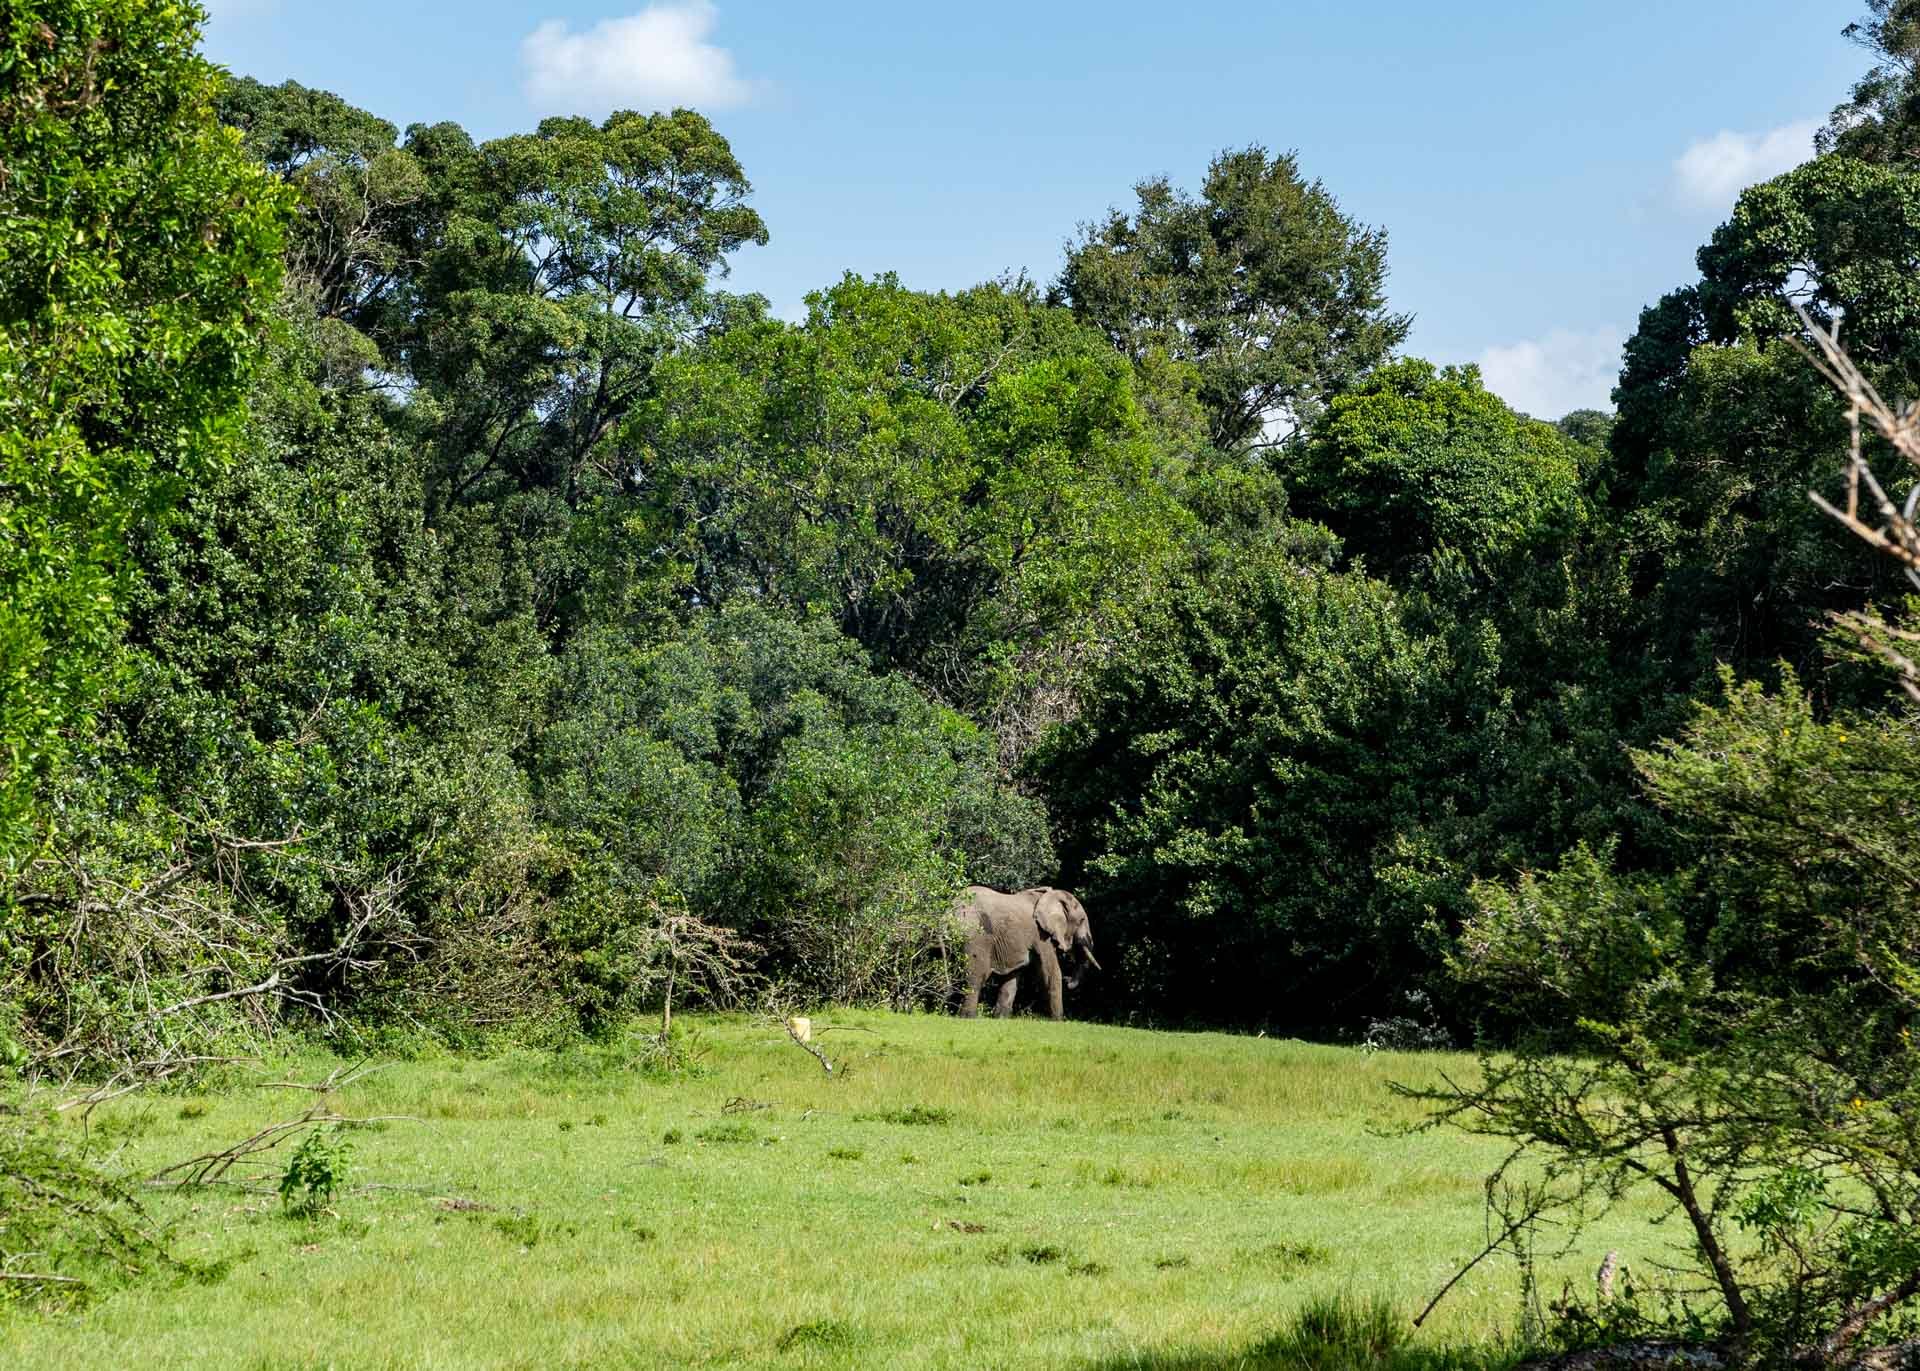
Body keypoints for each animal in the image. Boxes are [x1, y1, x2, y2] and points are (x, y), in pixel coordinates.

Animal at [956, 887, 1105, 1013]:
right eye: (1081, 920)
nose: (1067, 980)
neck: (1051, 895)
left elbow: (1012, 979)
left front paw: (1000, 1019)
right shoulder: (1041, 935)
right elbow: (1051, 972)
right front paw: (1058, 1021)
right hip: (976, 935)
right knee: (976, 976)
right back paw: (968, 1017)